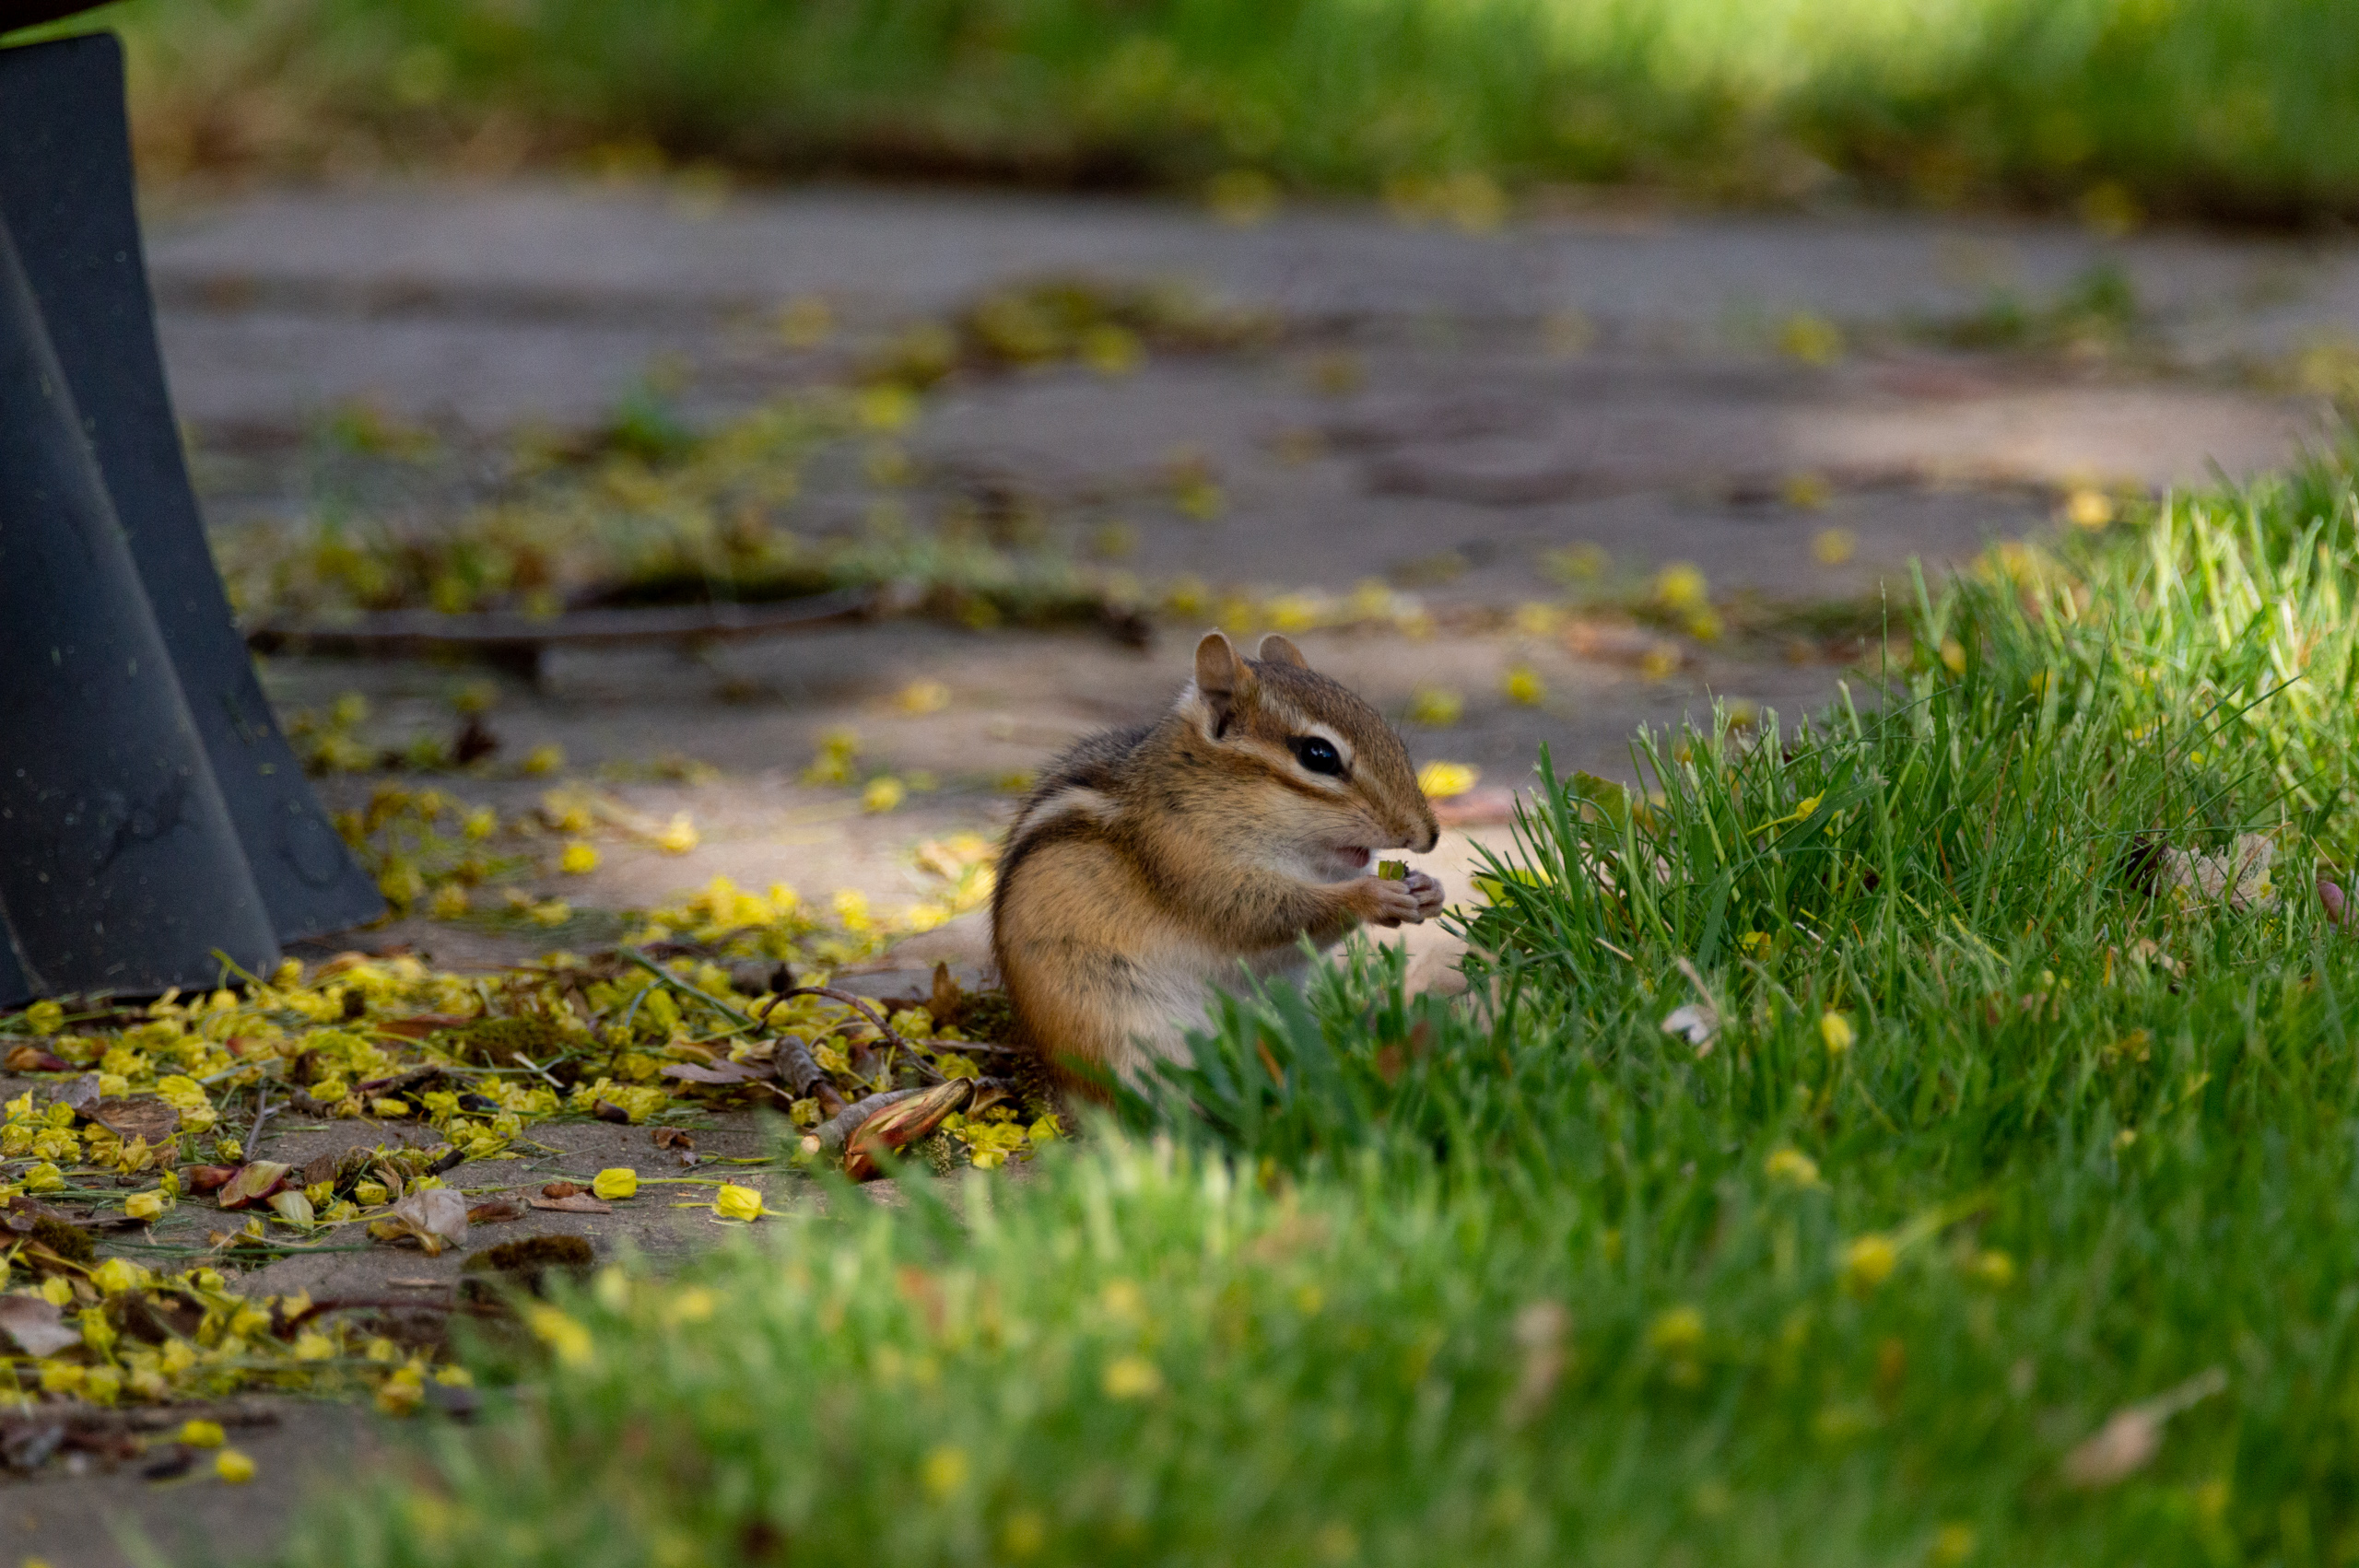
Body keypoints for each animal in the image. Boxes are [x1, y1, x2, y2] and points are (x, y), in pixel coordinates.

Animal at [991, 630, 1443, 1086]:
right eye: (1319, 755)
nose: (1429, 836)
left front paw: (1429, 889)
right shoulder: (1184, 859)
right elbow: (1259, 914)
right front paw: (1373, 896)